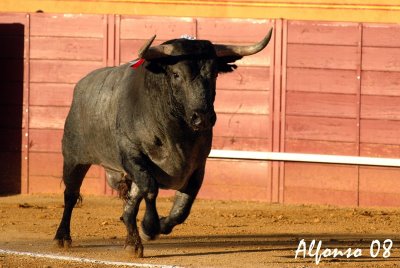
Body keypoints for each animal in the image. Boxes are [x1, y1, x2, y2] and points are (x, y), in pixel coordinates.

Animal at [54, 28, 272, 256]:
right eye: (176, 74)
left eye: (214, 74)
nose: (202, 118)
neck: (176, 131)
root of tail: (81, 86)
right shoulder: (132, 154)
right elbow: (150, 189)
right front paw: (149, 227)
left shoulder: (198, 166)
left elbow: (182, 207)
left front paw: (158, 226)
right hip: (74, 159)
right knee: (71, 194)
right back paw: (63, 237)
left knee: (129, 204)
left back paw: (132, 243)